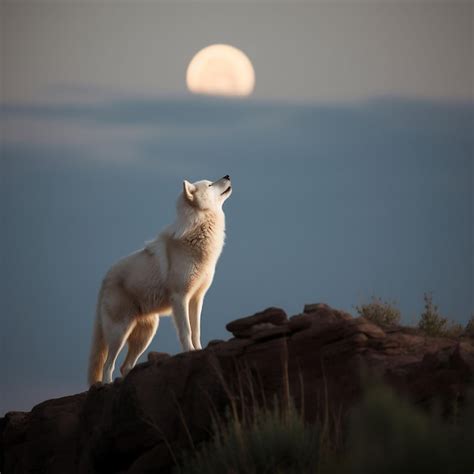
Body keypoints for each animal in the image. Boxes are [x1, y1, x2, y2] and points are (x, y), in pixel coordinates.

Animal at [88, 174, 232, 386]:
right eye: (210, 184)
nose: (228, 175)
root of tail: (104, 278)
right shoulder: (180, 298)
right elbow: (186, 331)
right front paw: (190, 352)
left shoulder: (197, 298)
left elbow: (196, 330)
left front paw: (199, 350)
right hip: (120, 332)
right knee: (108, 365)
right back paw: (107, 384)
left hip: (146, 333)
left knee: (125, 366)